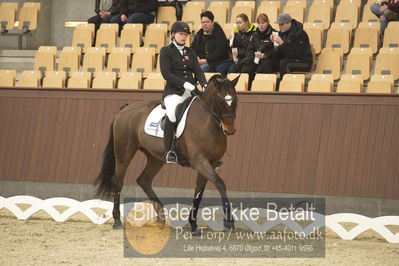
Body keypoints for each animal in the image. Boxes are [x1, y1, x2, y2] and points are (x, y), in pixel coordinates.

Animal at [95, 74, 239, 235]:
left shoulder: (210, 163)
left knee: (143, 180)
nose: (230, 130)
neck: (208, 122)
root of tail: (124, 110)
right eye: (220, 101)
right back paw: (117, 221)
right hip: (124, 152)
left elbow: (199, 193)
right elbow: (220, 183)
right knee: (118, 181)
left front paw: (194, 225)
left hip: (155, 158)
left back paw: (161, 218)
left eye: (236, 100)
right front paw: (229, 221)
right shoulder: (200, 161)